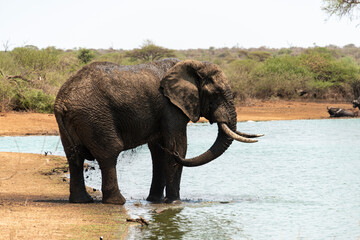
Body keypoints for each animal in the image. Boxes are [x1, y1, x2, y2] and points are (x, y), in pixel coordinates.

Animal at [53, 58, 262, 204]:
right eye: (216, 93)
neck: (193, 65)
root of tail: (62, 100)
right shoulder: (171, 106)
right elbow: (178, 145)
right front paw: (175, 202)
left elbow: (159, 151)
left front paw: (155, 201)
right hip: (95, 116)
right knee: (109, 153)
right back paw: (117, 202)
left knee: (74, 157)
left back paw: (82, 201)